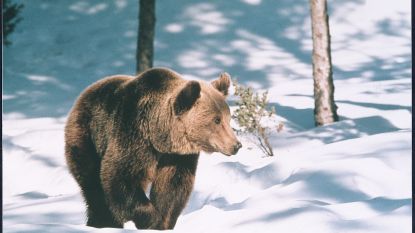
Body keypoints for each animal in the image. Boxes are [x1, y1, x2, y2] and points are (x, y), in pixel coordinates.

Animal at [63, 67, 242, 229]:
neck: (160, 135)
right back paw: (103, 222)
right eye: (216, 120)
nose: (236, 145)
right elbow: (120, 175)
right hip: (88, 134)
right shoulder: (134, 135)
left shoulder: (177, 157)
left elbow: (172, 185)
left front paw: (163, 221)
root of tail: (85, 92)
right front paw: (151, 219)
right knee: (92, 181)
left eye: (228, 118)